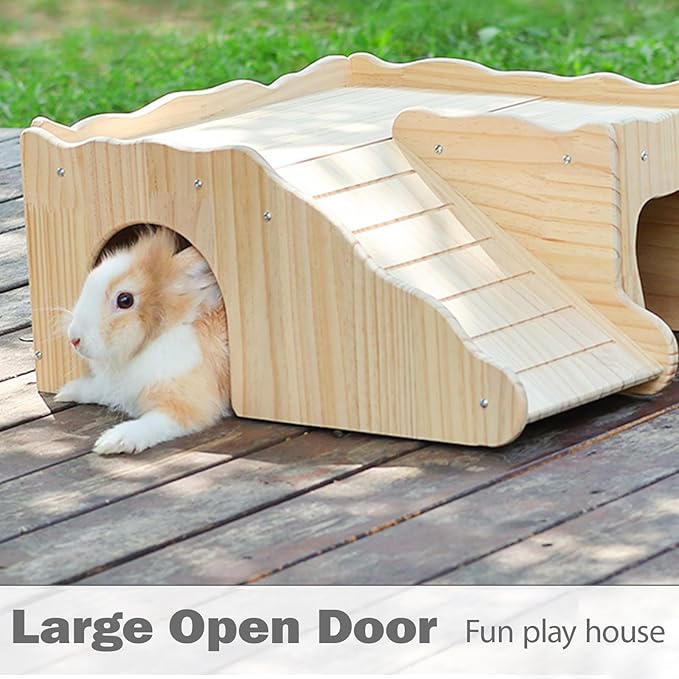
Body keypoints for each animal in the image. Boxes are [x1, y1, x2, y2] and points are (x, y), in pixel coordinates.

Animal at [55, 227, 231, 455]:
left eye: (125, 300)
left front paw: (113, 441)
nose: (74, 338)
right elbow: (100, 389)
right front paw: (67, 392)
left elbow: (155, 422)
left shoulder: (186, 405)